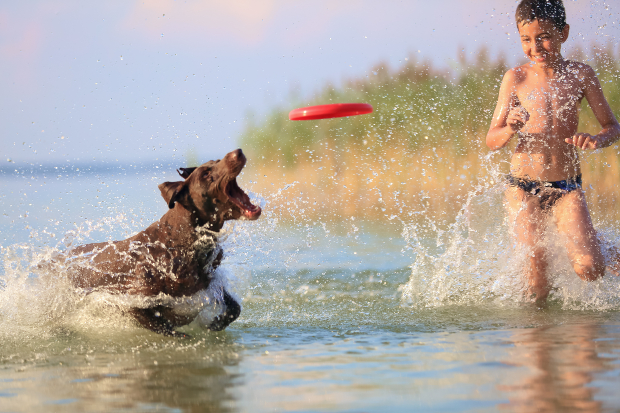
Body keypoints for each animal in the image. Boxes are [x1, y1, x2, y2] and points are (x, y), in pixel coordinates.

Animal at [65, 150, 262, 336]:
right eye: (206, 174)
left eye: (216, 161)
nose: (238, 152)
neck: (184, 241)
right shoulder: (131, 302)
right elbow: (167, 328)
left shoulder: (210, 284)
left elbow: (235, 307)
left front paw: (216, 323)